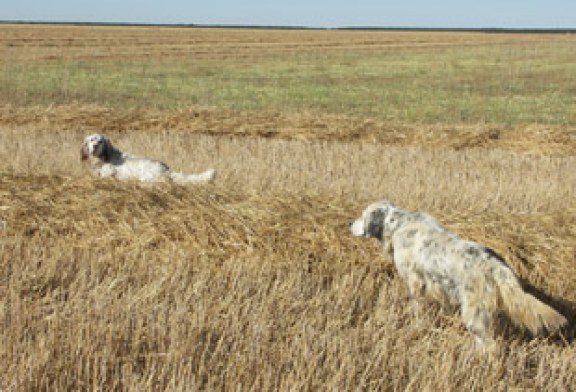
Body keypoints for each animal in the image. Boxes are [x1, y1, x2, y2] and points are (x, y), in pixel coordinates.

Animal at [80, 134, 215, 185]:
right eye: (91, 140)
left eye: (101, 141)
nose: (95, 146)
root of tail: (166, 169)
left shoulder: (107, 174)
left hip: (146, 178)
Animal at [352, 201, 568, 344]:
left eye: (363, 215)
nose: (349, 225)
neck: (399, 225)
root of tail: (497, 266)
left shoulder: (416, 282)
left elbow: (417, 307)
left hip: (475, 313)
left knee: (489, 346)